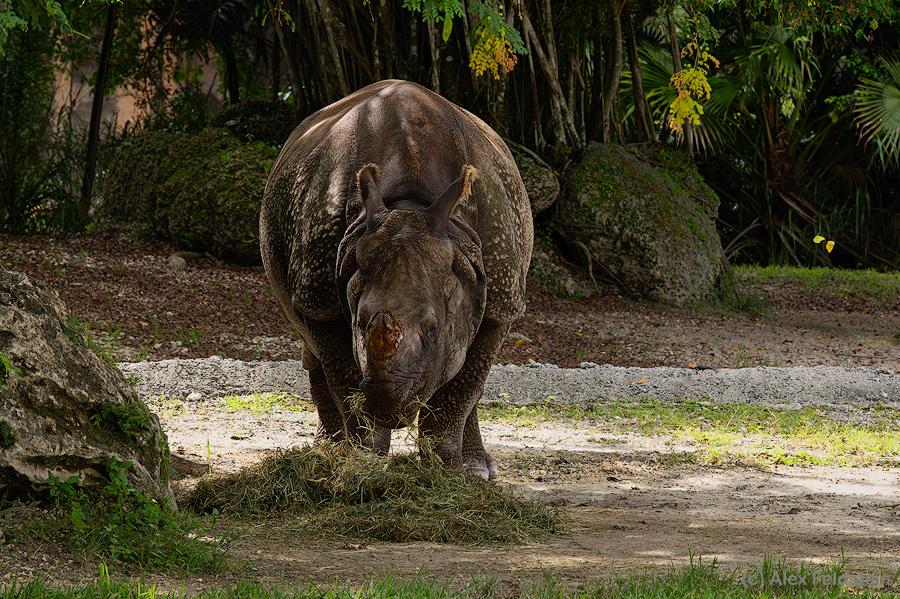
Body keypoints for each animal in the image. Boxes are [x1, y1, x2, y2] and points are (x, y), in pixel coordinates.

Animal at [260, 80, 532, 478]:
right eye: (359, 322)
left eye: (433, 328)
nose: (390, 406)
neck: (410, 208)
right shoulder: (320, 296)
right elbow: (344, 376)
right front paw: (363, 461)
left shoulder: (501, 298)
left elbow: (465, 384)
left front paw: (448, 472)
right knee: (311, 348)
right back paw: (328, 450)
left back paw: (477, 468)